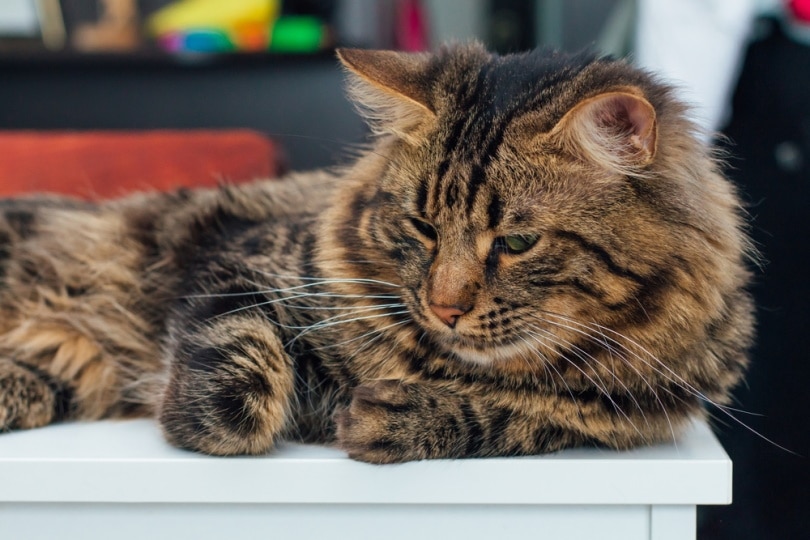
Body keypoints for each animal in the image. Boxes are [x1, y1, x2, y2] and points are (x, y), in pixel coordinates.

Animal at [0, 43, 752, 464]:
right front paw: (220, 419)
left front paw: (391, 417)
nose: (445, 308)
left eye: (516, 243)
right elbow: (236, 381)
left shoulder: (631, 416)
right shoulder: (239, 259)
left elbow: (516, 416)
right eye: (422, 227)